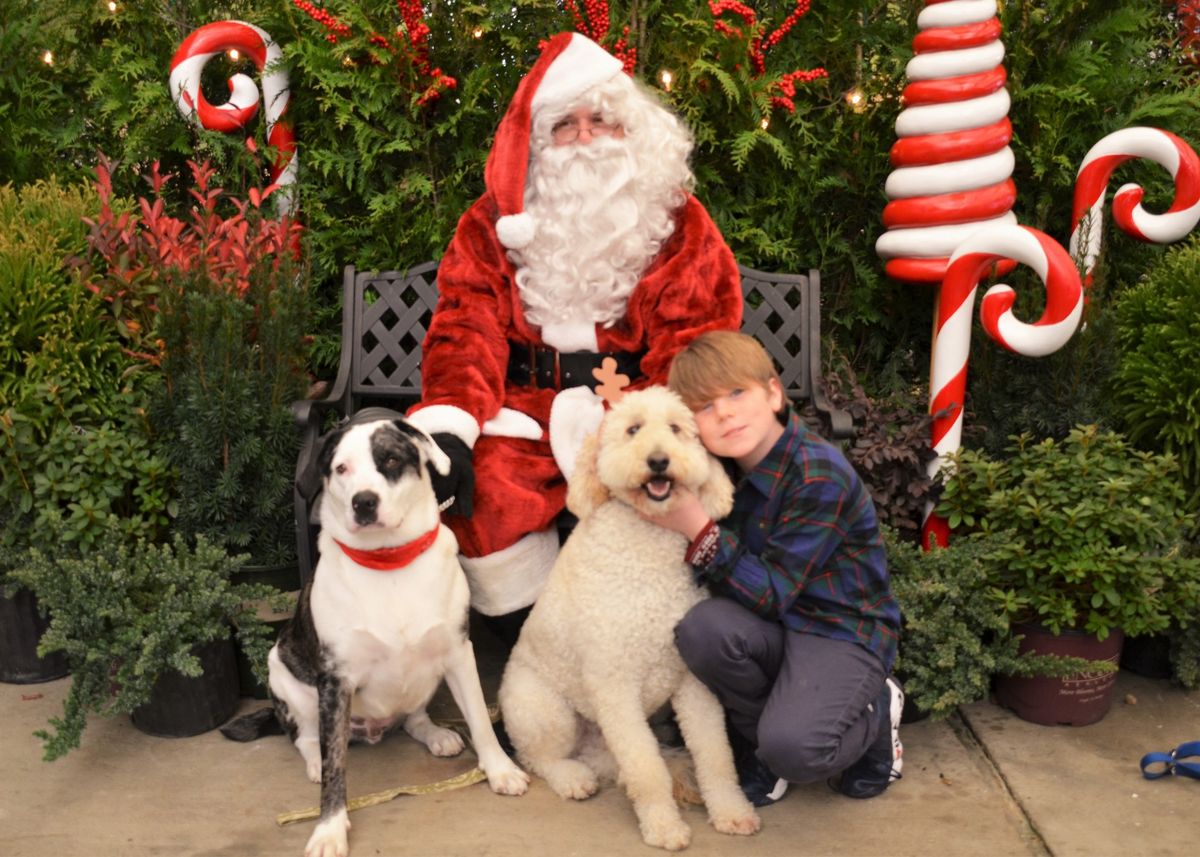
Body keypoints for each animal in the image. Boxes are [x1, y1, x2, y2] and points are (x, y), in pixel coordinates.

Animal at [225, 412, 525, 854]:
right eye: (341, 469)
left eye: (391, 460)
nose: (363, 502)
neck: (389, 561)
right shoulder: (336, 680)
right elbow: (335, 767)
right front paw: (329, 828)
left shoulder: (458, 652)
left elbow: (480, 721)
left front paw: (500, 769)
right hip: (282, 671)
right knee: (304, 737)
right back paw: (314, 760)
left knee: (414, 719)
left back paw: (437, 735)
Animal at [494, 386, 758, 849]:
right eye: (633, 429)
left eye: (676, 428)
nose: (658, 460)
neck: (648, 547)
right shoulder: (615, 685)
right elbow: (646, 768)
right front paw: (664, 826)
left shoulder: (693, 681)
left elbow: (715, 754)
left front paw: (731, 811)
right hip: (544, 709)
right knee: (537, 756)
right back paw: (571, 778)